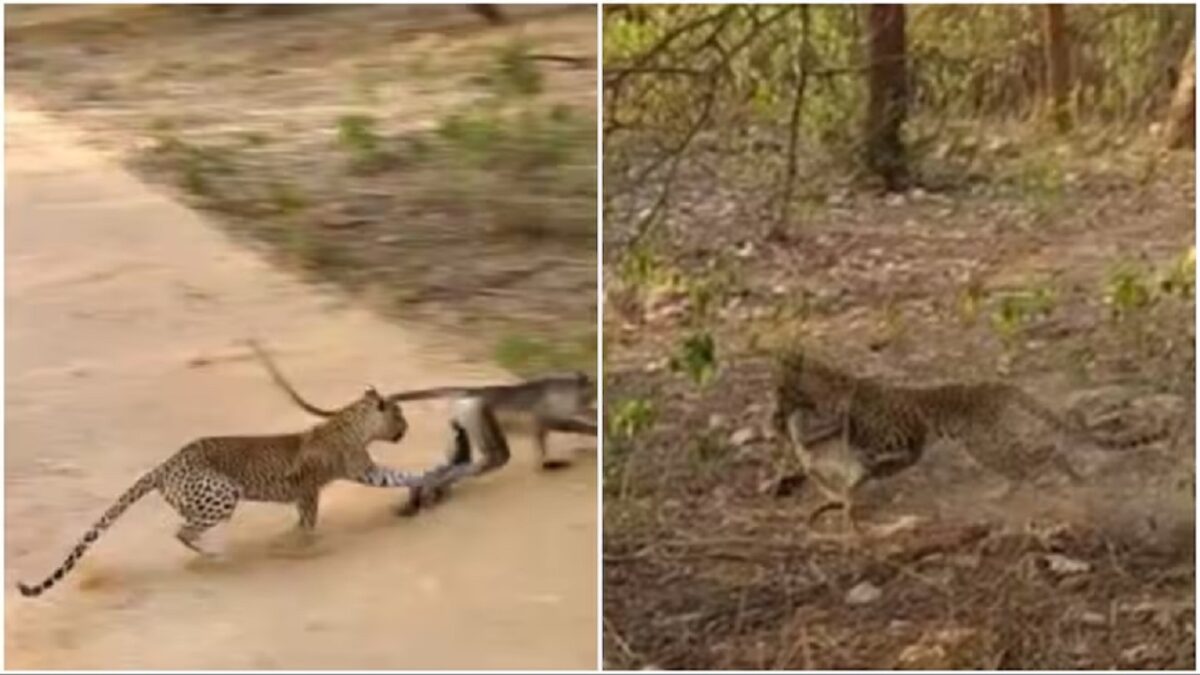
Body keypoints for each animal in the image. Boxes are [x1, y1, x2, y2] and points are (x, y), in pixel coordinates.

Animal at [16, 387, 465, 598]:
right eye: (399, 415)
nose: (405, 427)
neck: (353, 425)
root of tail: (164, 465)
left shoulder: (363, 473)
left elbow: (400, 476)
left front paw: (434, 476)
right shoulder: (316, 487)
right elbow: (309, 521)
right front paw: (302, 546)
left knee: (184, 527)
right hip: (223, 492)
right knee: (183, 531)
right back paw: (216, 556)